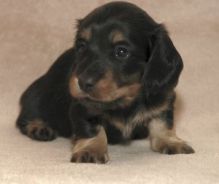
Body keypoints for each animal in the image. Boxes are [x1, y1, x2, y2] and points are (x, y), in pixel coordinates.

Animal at [17, 1, 195, 162]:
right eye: (81, 45)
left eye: (121, 51)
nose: (83, 82)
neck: (125, 98)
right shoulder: (83, 108)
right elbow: (92, 129)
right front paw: (90, 150)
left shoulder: (163, 101)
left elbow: (162, 124)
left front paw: (172, 142)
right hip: (36, 98)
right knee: (24, 119)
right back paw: (39, 128)